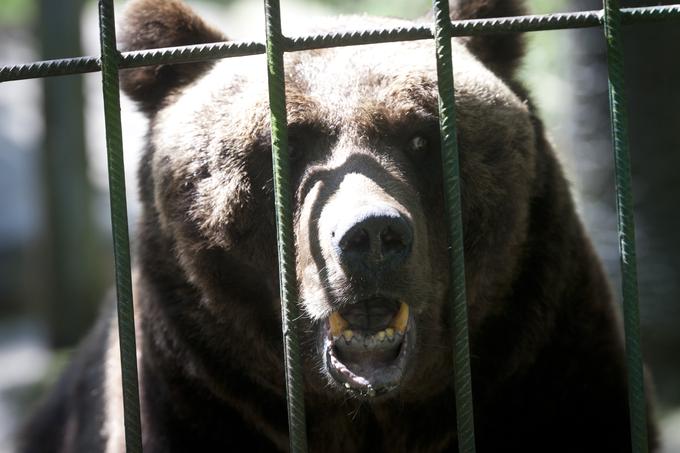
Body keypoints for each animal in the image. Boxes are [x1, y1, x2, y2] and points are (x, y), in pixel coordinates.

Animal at [19, 0, 660, 452]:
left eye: (422, 136)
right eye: (285, 144)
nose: (372, 236)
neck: (368, 415)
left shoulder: (547, 369)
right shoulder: (194, 400)